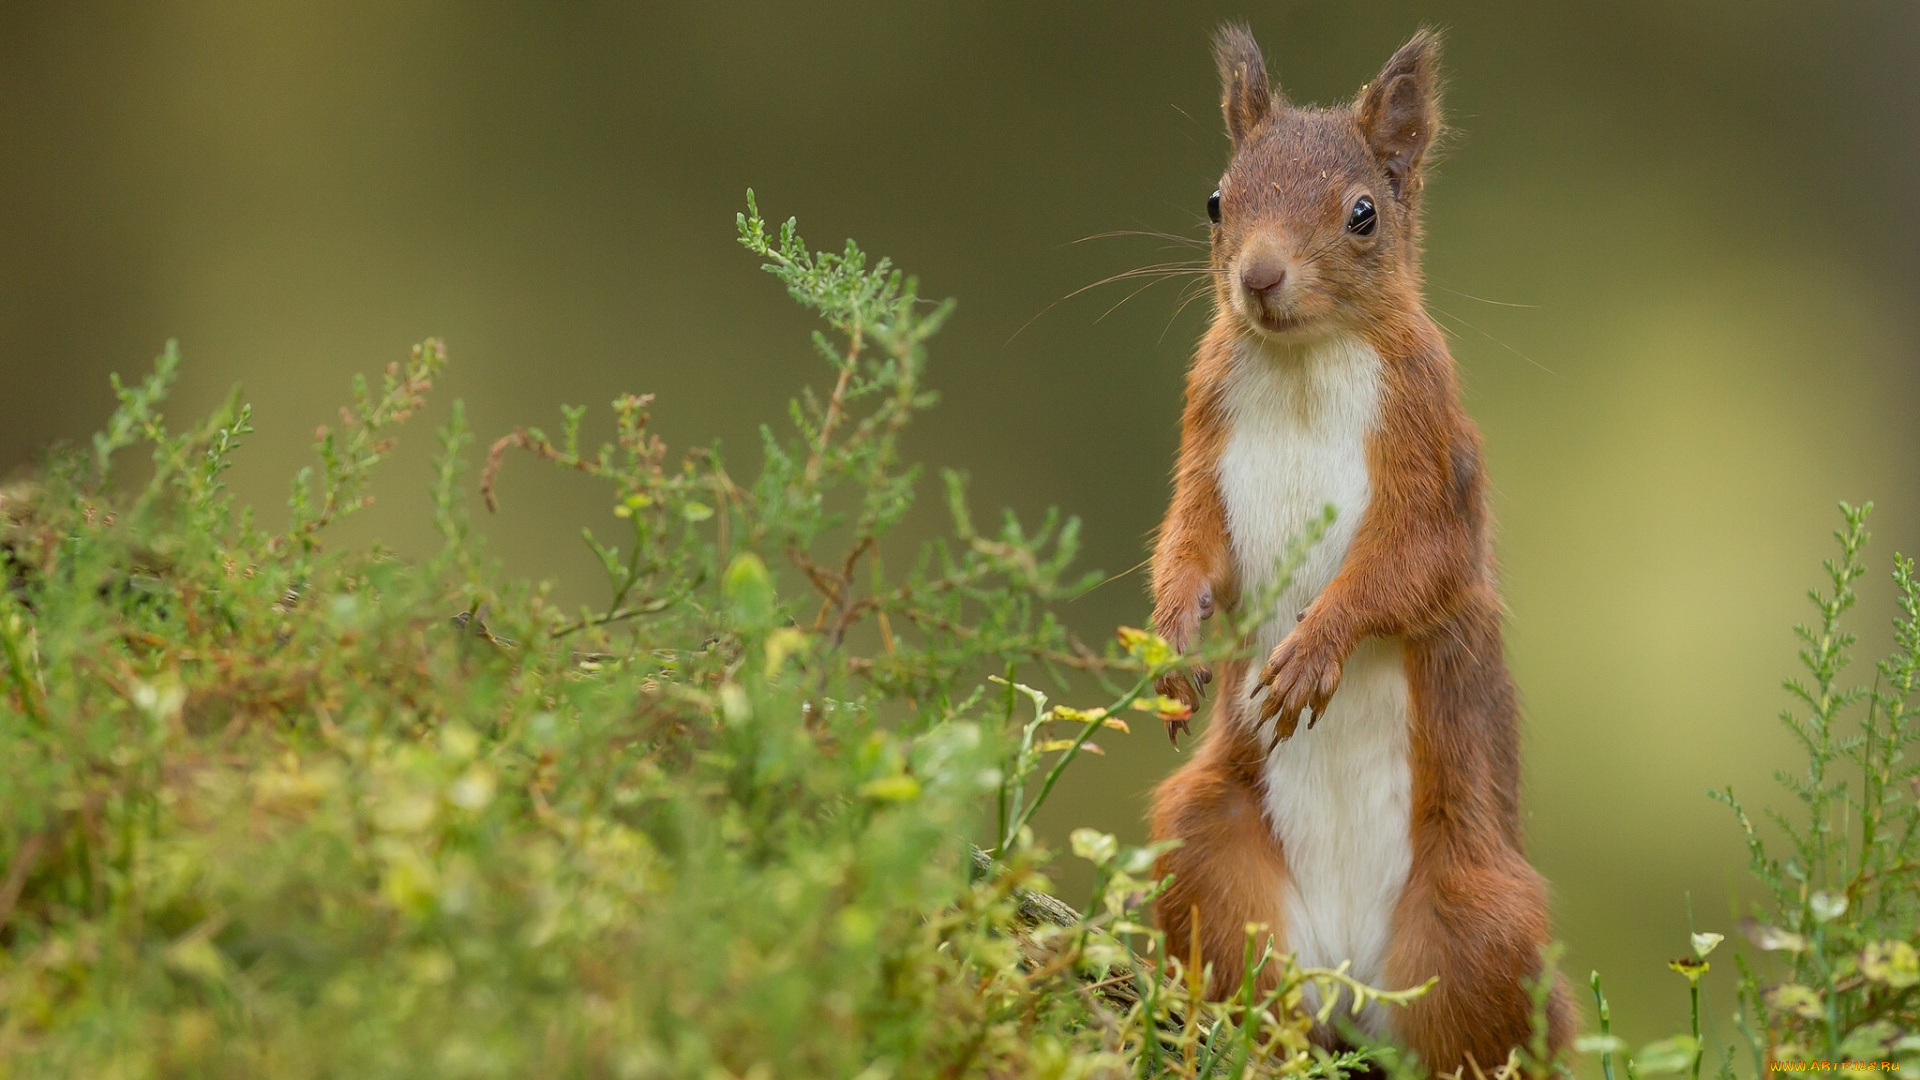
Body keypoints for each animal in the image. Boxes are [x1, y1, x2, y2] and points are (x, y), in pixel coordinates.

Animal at [1136, 25, 1574, 1068]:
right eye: (1216, 200)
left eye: (1364, 215)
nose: (1258, 277)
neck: (1303, 361)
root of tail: (1348, 976)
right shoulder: (1205, 440)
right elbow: (1190, 543)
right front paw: (1174, 640)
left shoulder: (1430, 451)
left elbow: (1412, 567)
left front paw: (1313, 651)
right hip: (1207, 843)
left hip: (1479, 915)